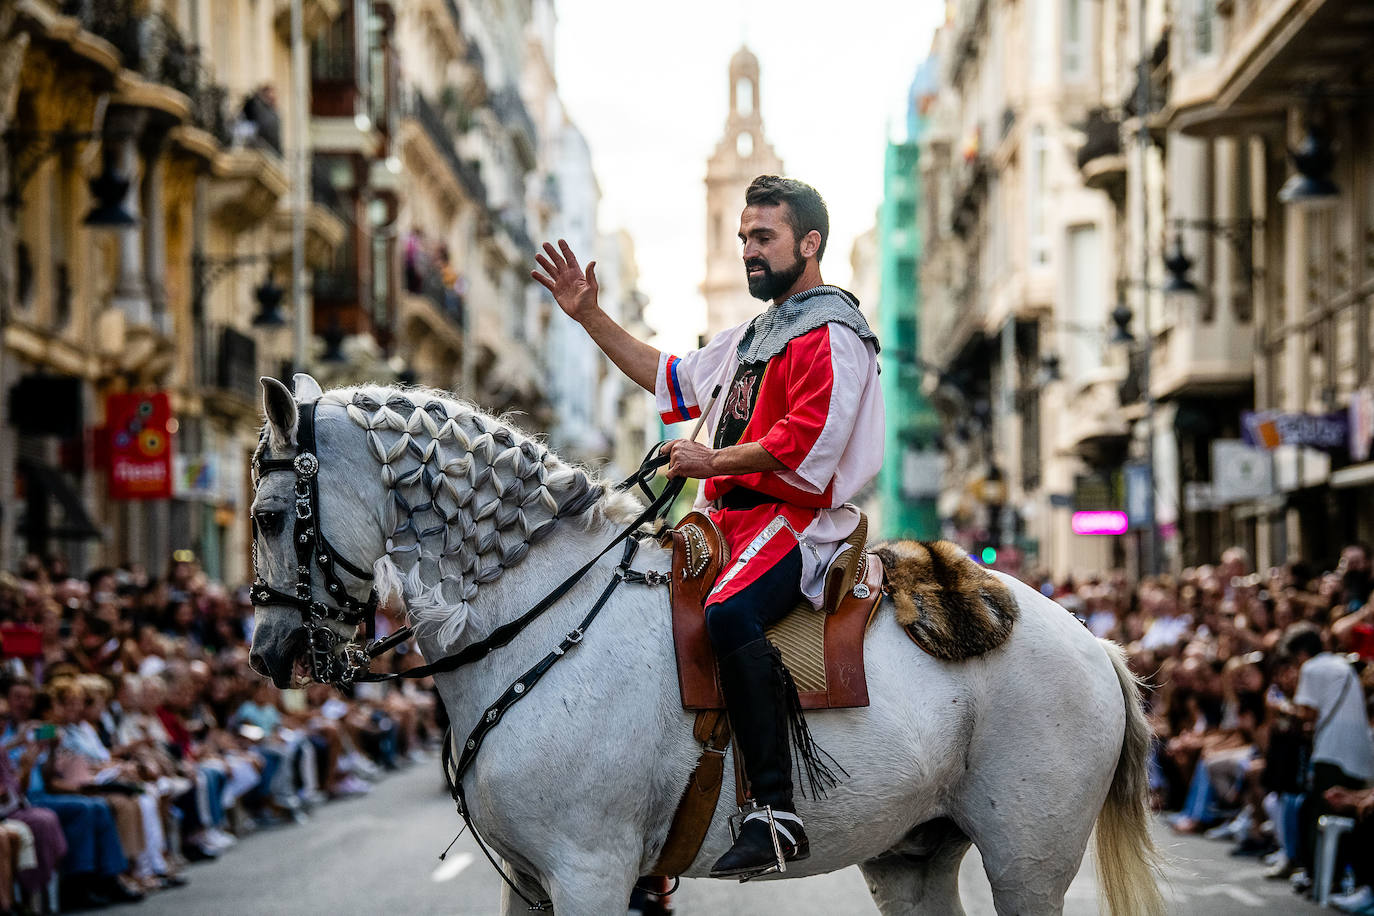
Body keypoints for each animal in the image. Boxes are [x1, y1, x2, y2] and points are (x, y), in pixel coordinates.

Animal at [247, 373, 1159, 916]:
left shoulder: (589, 872)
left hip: (1027, 860)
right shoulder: (532, 883)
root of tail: (1097, 646)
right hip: (913, 852)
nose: (265, 651)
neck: (537, 620)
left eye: (266, 516)